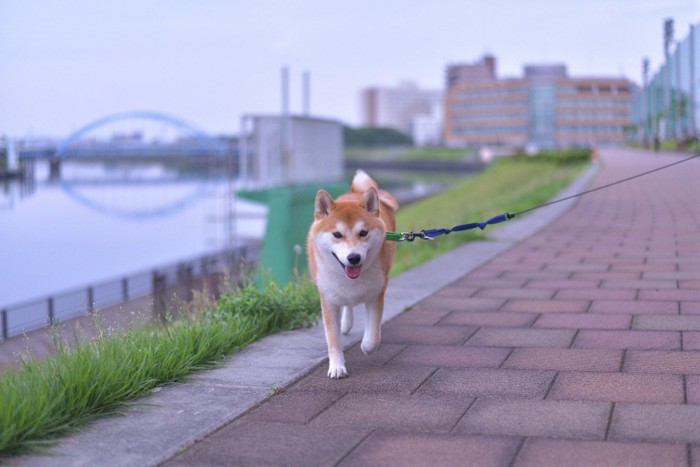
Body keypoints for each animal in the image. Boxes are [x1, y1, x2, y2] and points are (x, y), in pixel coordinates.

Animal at [308, 170, 400, 378]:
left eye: (363, 232)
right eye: (337, 234)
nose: (354, 258)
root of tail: (354, 191)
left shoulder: (376, 294)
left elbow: (373, 334)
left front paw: (366, 346)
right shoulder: (328, 299)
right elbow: (333, 339)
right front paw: (337, 367)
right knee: (347, 305)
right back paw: (345, 323)